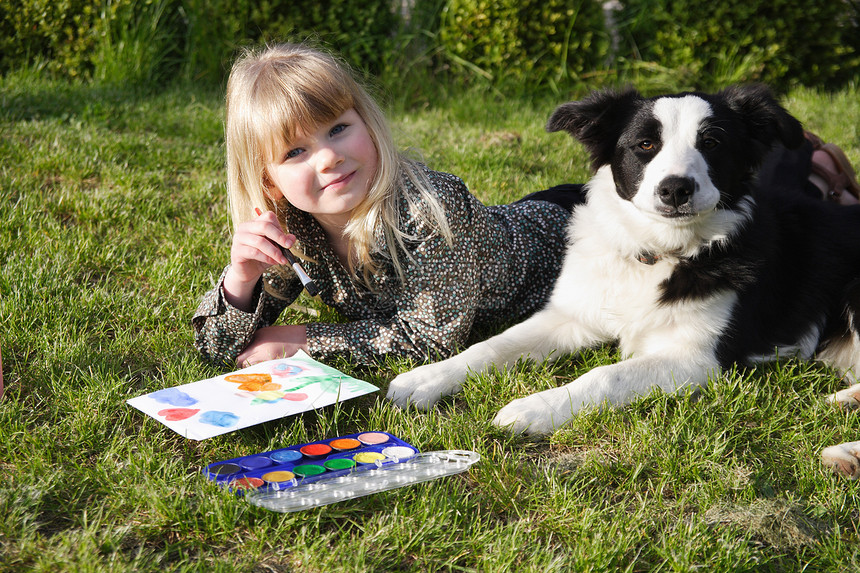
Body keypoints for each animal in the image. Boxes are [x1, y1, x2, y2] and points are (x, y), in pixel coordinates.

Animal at [388, 84, 860, 478]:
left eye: (712, 143)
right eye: (645, 144)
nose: (676, 189)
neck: (656, 253)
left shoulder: (696, 359)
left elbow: (603, 375)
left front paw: (533, 408)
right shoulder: (570, 315)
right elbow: (491, 345)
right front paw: (424, 379)